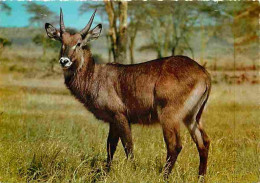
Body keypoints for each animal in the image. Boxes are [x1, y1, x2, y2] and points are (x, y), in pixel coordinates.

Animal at [44, 8, 211, 179]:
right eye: (61, 42)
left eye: (78, 43)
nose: (64, 61)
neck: (94, 75)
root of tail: (203, 72)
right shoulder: (113, 121)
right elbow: (110, 146)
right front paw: (105, 173)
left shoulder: (120, 116)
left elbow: (128, 146)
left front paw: (133, 171)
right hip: (192, 117)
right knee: (204, 142)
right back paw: (201, 177)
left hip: (169, 117)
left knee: (175, 146)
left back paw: (163, 176)